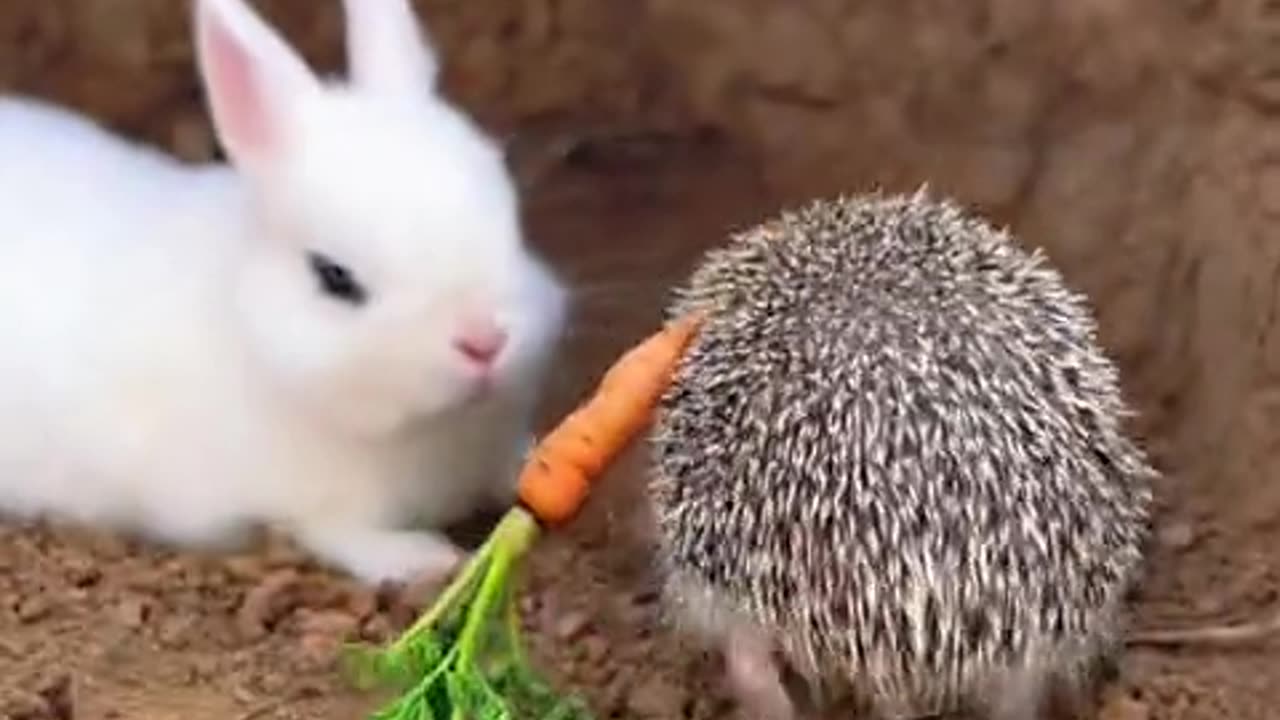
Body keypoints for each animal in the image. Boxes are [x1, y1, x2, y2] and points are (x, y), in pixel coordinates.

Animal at [0, 0, 565, 584]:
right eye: (335, 276)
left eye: (512, 225)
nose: (484, 341)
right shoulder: (301, 505)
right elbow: (337, 535)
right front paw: (424, 559)